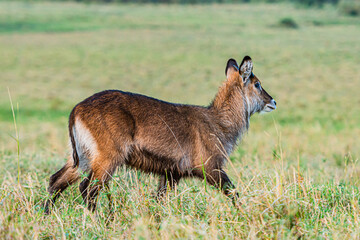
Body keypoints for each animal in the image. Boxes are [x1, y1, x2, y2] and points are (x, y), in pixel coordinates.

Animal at [44, 55, 276, 213]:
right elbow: (233, 191)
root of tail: (77, 109)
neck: (219, 121)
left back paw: (46, 215)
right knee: (87, 188)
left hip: (82, 157)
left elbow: (160, 200)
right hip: (107, 158)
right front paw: (244, 213)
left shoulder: (170, 173)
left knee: (56, 181)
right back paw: (98, 220)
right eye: (257, 84)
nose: (273, 101)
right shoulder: (211, 168)